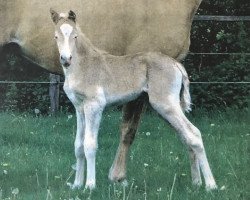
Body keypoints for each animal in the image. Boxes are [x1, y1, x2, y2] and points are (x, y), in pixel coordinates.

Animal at [49, 9, 216, 191]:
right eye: (56, 36)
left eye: (75, 36)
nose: (66, 59)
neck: (84, 66)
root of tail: (176, 64)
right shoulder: (79, 108)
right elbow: (78, 145)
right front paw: (77, 185)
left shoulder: (95, 105)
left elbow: (90, 145)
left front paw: (90, 186)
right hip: (169, 108)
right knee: (186, 137)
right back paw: (196, 183)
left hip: (165, 105)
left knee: (194, 134)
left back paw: (211, 185)